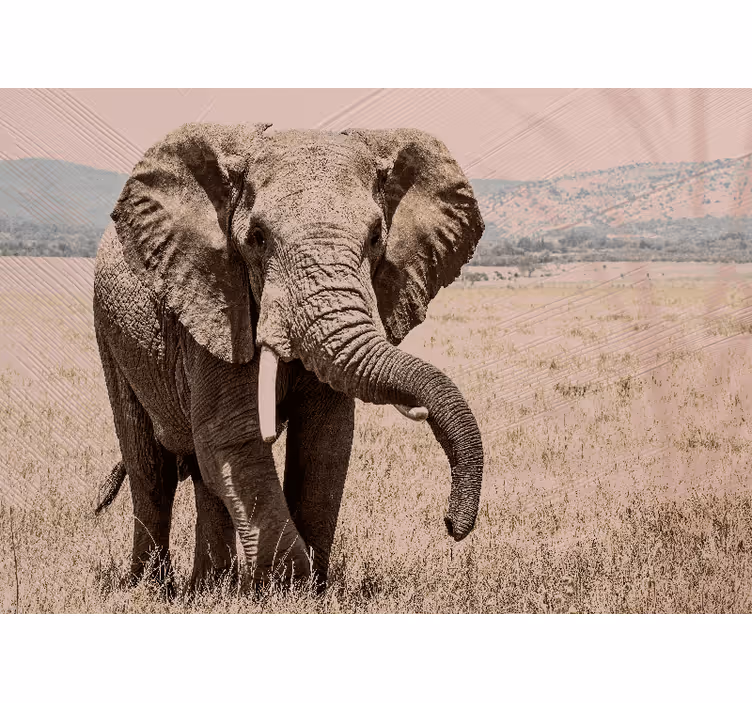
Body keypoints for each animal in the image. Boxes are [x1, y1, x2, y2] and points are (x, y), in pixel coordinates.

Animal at [92, 122, 485, 593]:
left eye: (376, 237)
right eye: (257, 239)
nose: (451, 524)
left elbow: (325, 442)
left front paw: (309, 589)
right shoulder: (218, 304)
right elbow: (233, 436)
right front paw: (287, 587)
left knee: (203, 475)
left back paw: (208, 590)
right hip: (110, 333)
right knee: (151, 469)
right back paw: (152, 589)